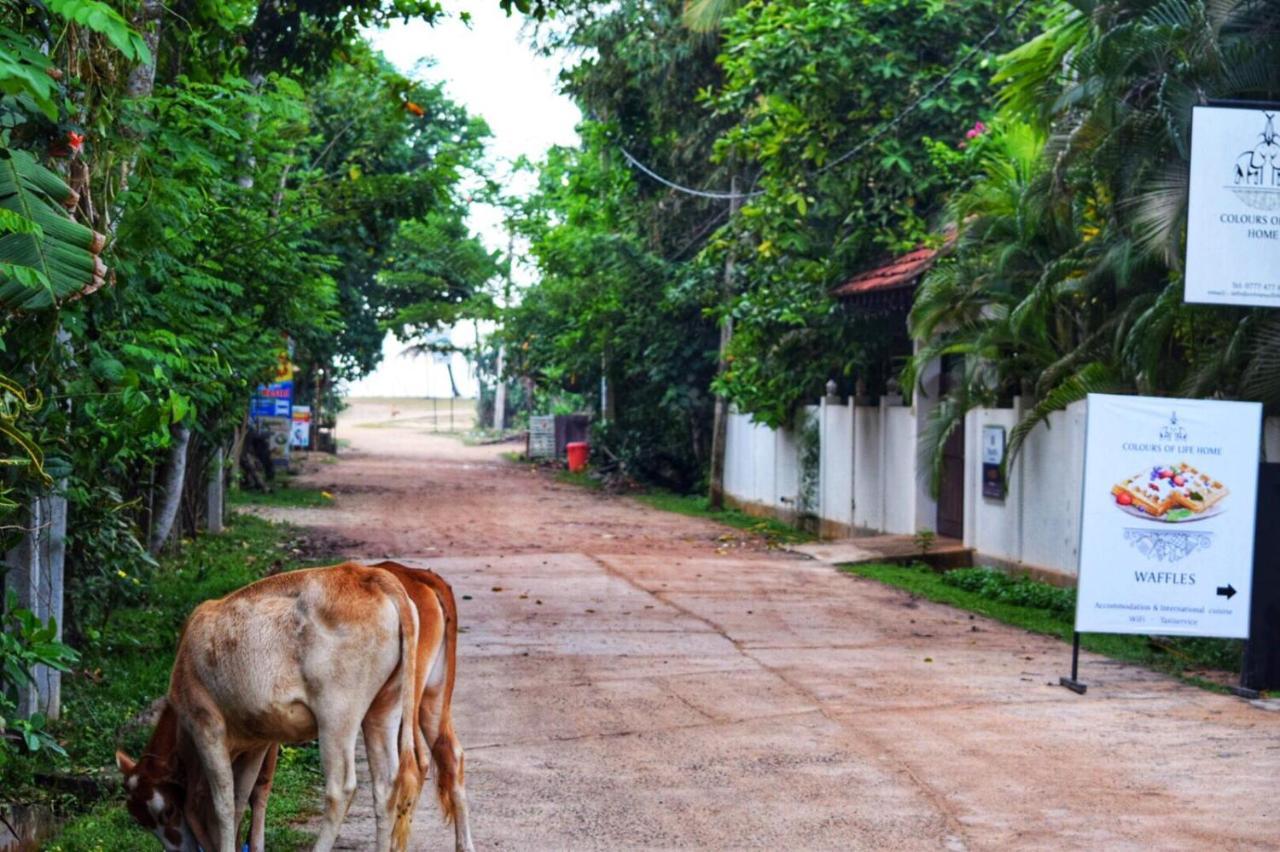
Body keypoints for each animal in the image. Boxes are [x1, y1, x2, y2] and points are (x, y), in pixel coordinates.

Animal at [117, 560, 422, 844]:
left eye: (167, 811)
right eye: (140, 820)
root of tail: (366, 573)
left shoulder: (206, 726)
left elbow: (222, 807)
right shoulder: (255, 742)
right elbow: (240, 801)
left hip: (337, 713)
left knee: (340, 788)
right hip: (385, 706)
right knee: (386, 786)